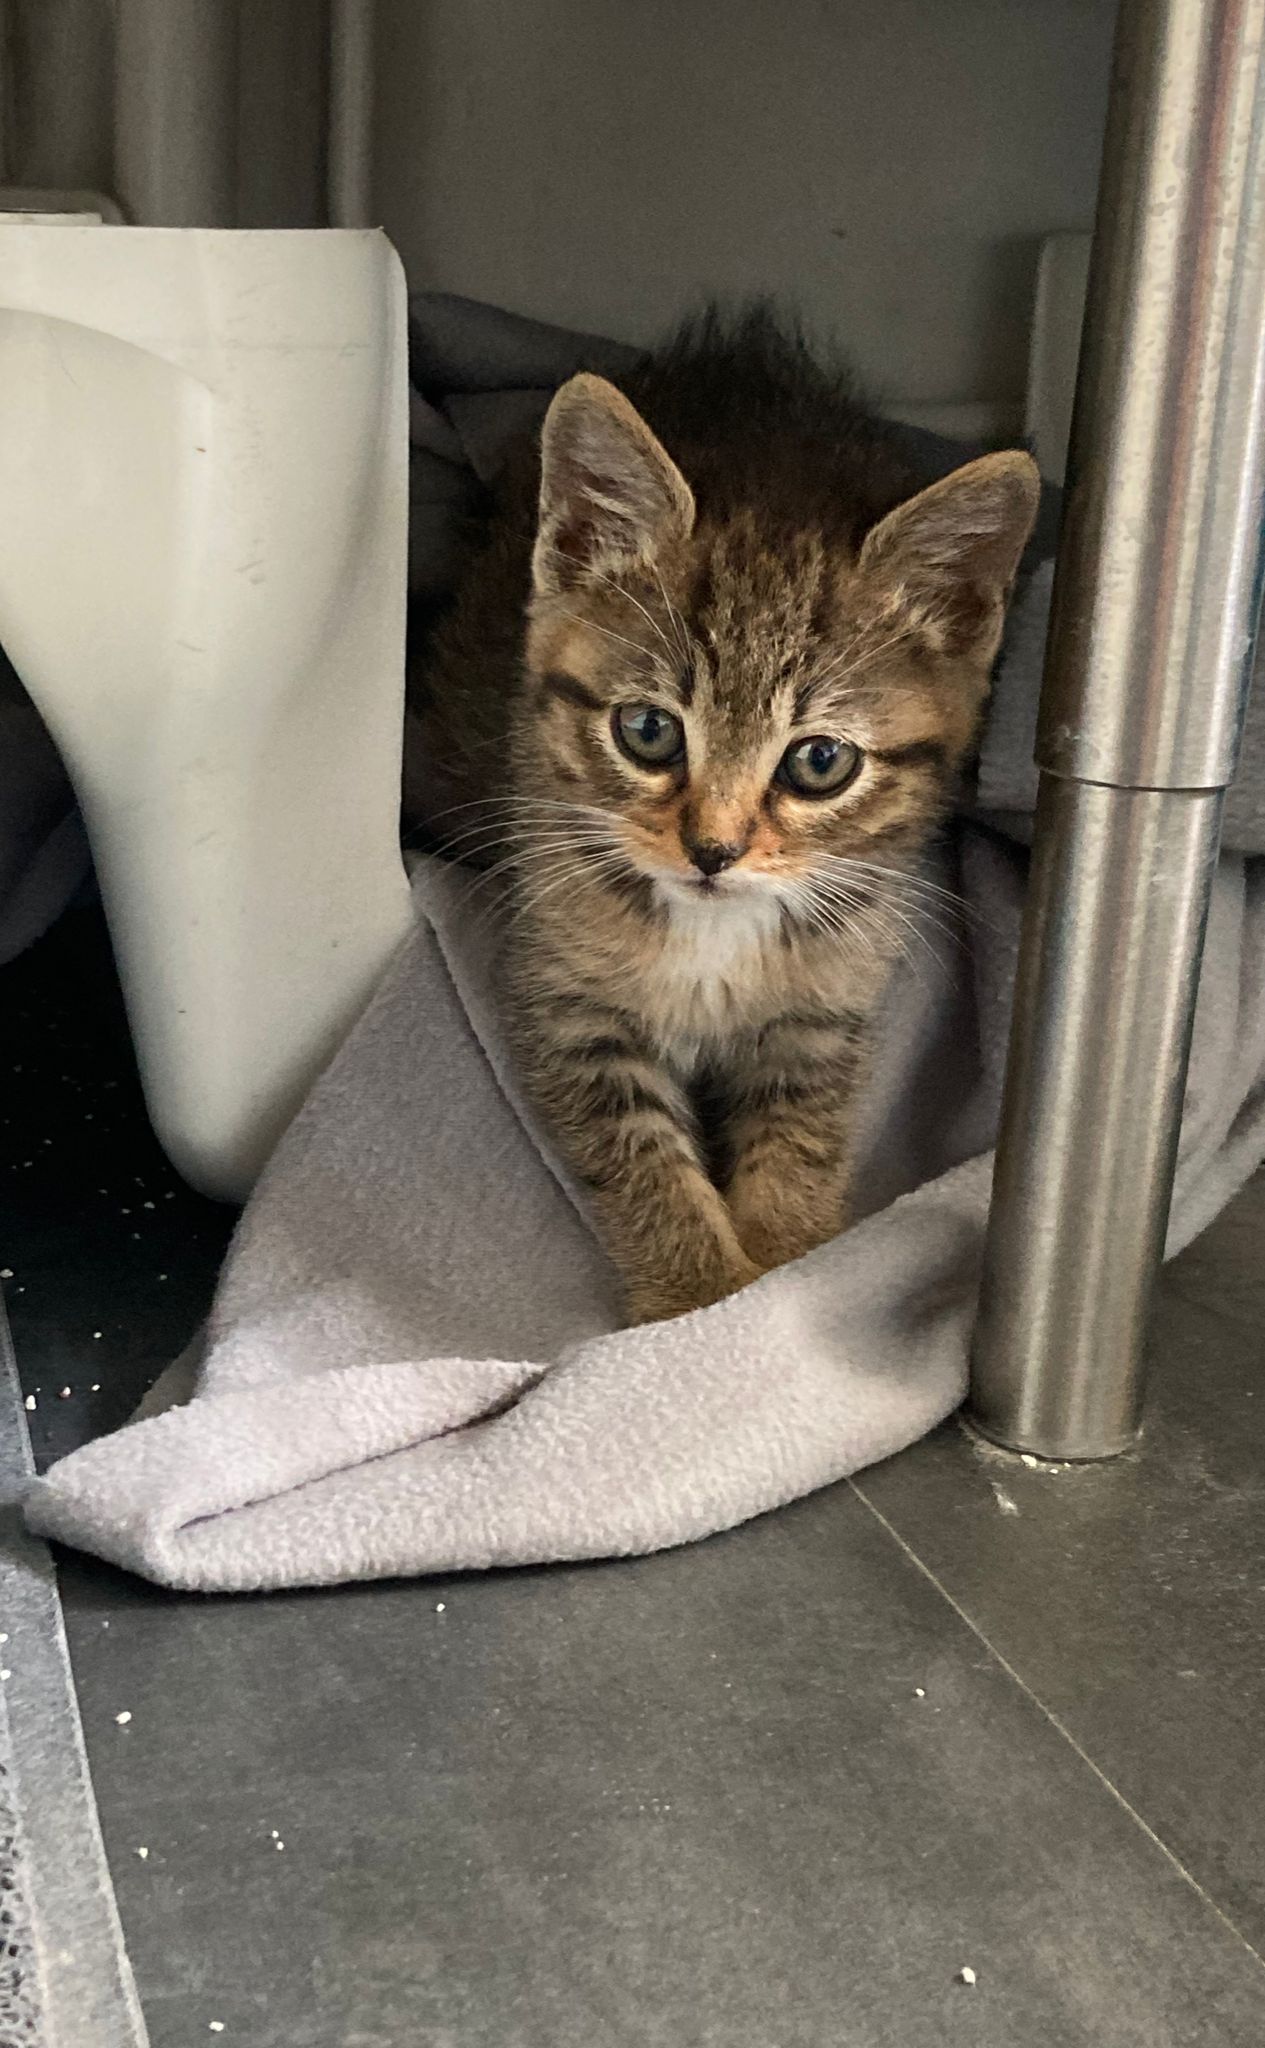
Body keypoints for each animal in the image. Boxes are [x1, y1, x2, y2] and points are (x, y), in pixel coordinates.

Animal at [405, 311, 1038, 1324]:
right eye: (648, 731)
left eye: (819, 763)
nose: (712, 849)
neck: (715, 933)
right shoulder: (569, 1008)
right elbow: (642, 1163)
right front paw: (696, 1296)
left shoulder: (821, 1018)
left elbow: (799, 1144)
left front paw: (781, 1268)